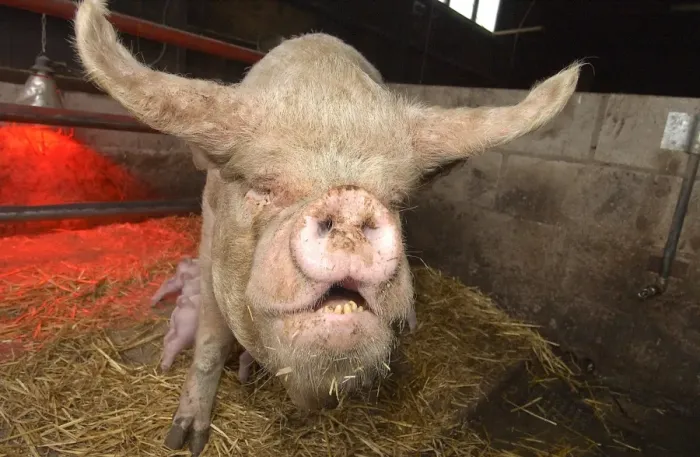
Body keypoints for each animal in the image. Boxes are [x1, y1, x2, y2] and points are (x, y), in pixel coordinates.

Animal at [73, 1, 581, 454]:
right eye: (263, 187)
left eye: (396, 199)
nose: (351, 199)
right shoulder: (210, 239)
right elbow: (212, 342)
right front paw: (183, 441)